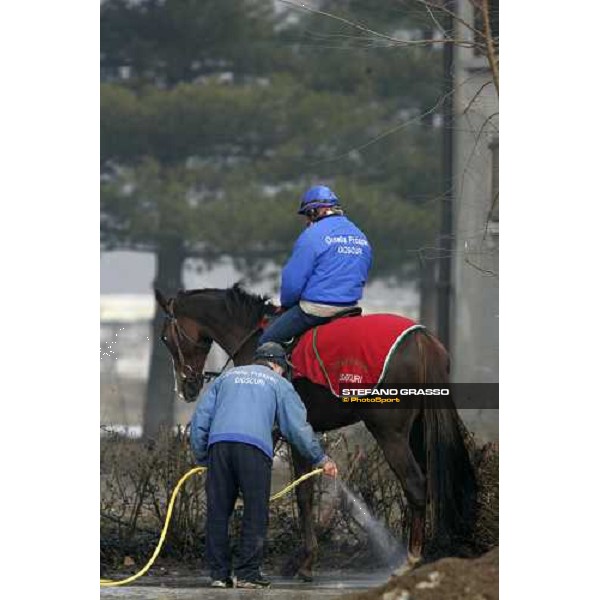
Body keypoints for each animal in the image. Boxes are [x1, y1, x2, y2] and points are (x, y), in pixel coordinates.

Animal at [156, 284, 478, 580]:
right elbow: (305, 492)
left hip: (391, 434)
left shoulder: (274, 430)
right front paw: (304, 559)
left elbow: (284, 493)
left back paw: (411, 559)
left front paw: (300, 560)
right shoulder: (300, 433)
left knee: (415, 484)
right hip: (418, 431)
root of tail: (420, 339)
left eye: (164, 338)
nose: (186, 388)